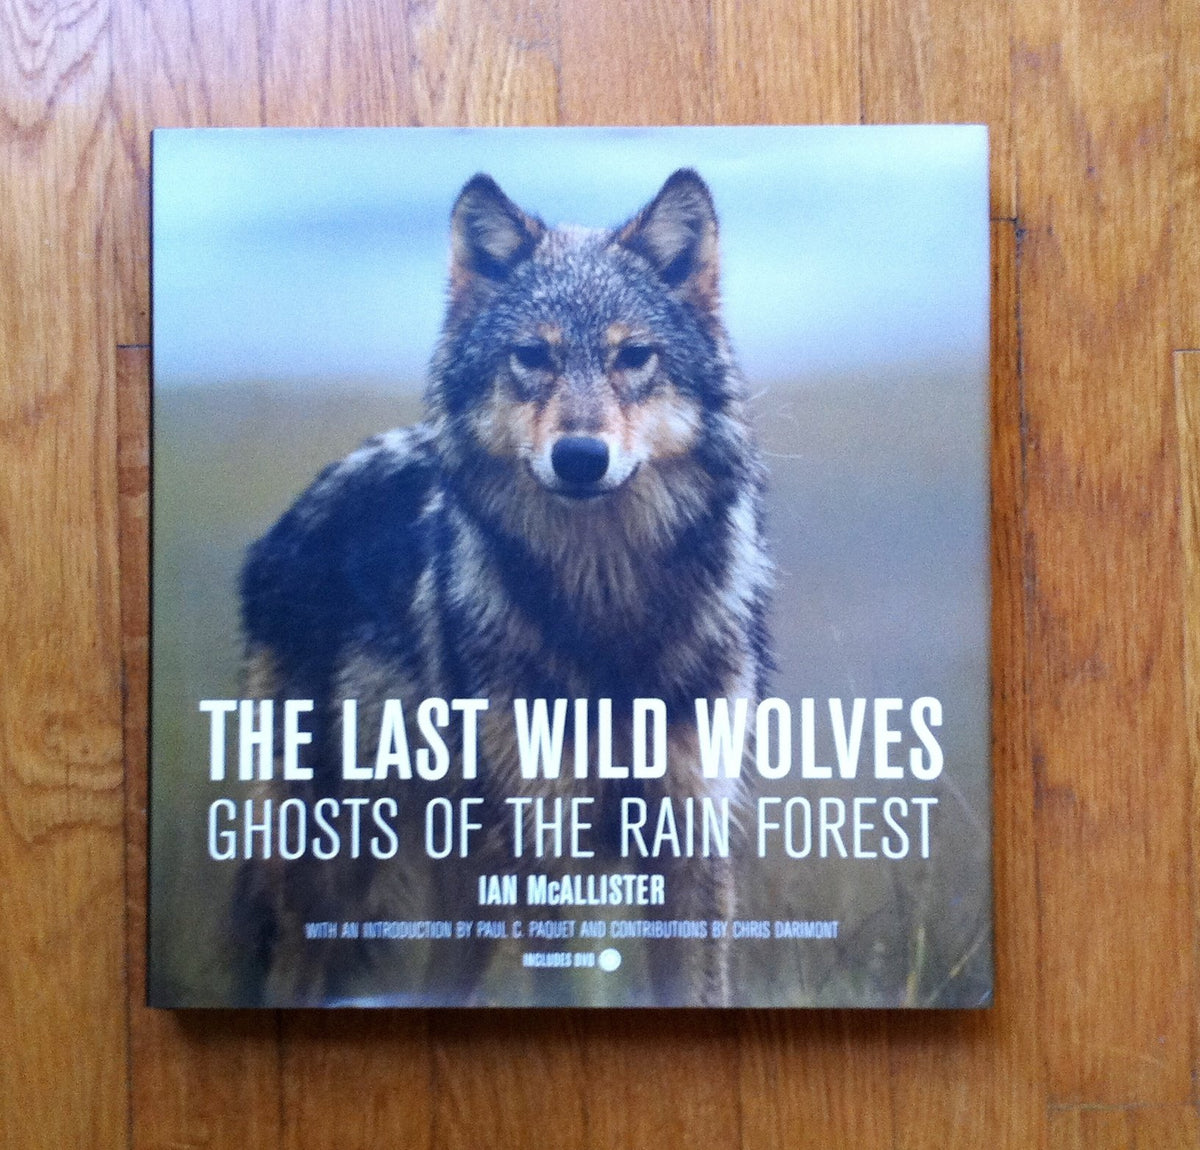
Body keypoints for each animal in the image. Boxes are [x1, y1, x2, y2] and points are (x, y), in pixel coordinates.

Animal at [232, 169, 772, 1007]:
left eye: (634, 357)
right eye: (531, 356)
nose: (580, 457)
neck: (606, 609)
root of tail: (289, 520)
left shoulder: (688, 836)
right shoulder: (549, 846)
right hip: (340, 873)